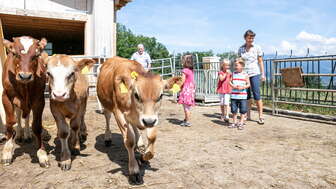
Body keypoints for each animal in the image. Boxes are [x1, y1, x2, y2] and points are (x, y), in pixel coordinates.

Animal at [1, 36, 48, 166]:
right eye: (14, 53)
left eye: (36, 55)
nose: (25, 76)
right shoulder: (6, 97)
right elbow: (10, 122)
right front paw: (7, 151)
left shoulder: (39, 99)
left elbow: (36, 125)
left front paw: (42, 153)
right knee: (18, 116)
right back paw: (19, 135)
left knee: (26, 117)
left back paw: (26, 135)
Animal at [97, 56, 181, 185]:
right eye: (136, 95)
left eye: (161, 96)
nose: (148, 122)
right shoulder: (119, 112)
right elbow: (129, 141)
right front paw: (134, 171)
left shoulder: (153, 117)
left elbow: (152, 137)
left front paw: (143, 156)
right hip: (106, 104)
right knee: (107, 117)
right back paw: (108, 138)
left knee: (134, 126)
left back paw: (140, 143)